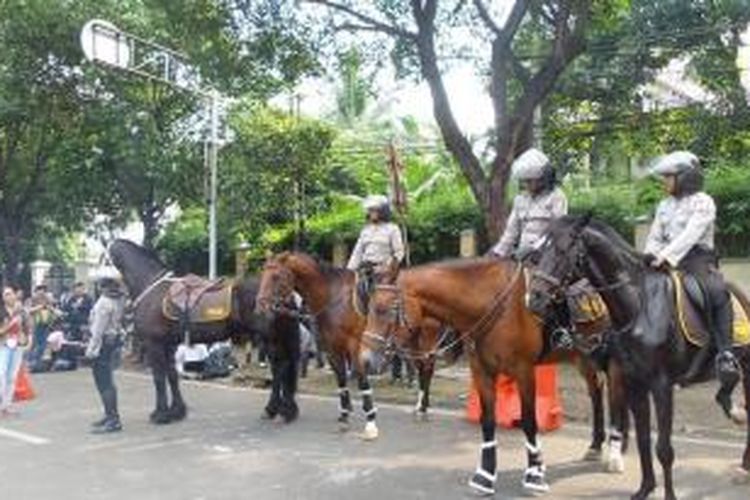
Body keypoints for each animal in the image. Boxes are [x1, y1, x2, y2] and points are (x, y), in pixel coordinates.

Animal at [108, 240, 302, 424]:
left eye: (105, 257)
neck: (151, 287)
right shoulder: (169, 345)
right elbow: (172, 375)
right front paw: (176, 411)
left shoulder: (154, 344)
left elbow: (159, 377)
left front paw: (160, 414)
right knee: (282, 368)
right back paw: (284, 410)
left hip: (268, 338)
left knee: (280, 368)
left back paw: (275, 409)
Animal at [258, 252, 446, 440]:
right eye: (263, 273)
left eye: (276, 276)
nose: (261, 304)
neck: (333, 299)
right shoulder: (332, 349)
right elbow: (341, 380)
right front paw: (344, 416)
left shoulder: (356, 347)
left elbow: (363, 381)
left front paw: (370, 421)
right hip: (411, 340)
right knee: (422, 368)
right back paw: (420, 407)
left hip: (425, 339)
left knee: (427, 367)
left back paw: (422, 408)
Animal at [362, 258, 632, 496]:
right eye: (370, 308)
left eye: (384, 310)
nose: (365, 360)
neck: (494, 306)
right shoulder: (482, 372)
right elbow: (488, 421)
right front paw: (485, 475)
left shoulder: (524, 372)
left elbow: (529, 421)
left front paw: (534, 474)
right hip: (584, 358)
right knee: (596, 393)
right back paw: (597, 445)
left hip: (614, 361)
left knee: (617, 399)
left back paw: (616, 452)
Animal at [524, 216, 750, 500]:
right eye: (540, 252)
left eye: (563, 251)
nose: (535, 298)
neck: (639, 306)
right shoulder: (634, 382)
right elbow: (643, 439)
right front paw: (645, 488)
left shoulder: (661, 385)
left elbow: (663, 448)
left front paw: (669, 495)